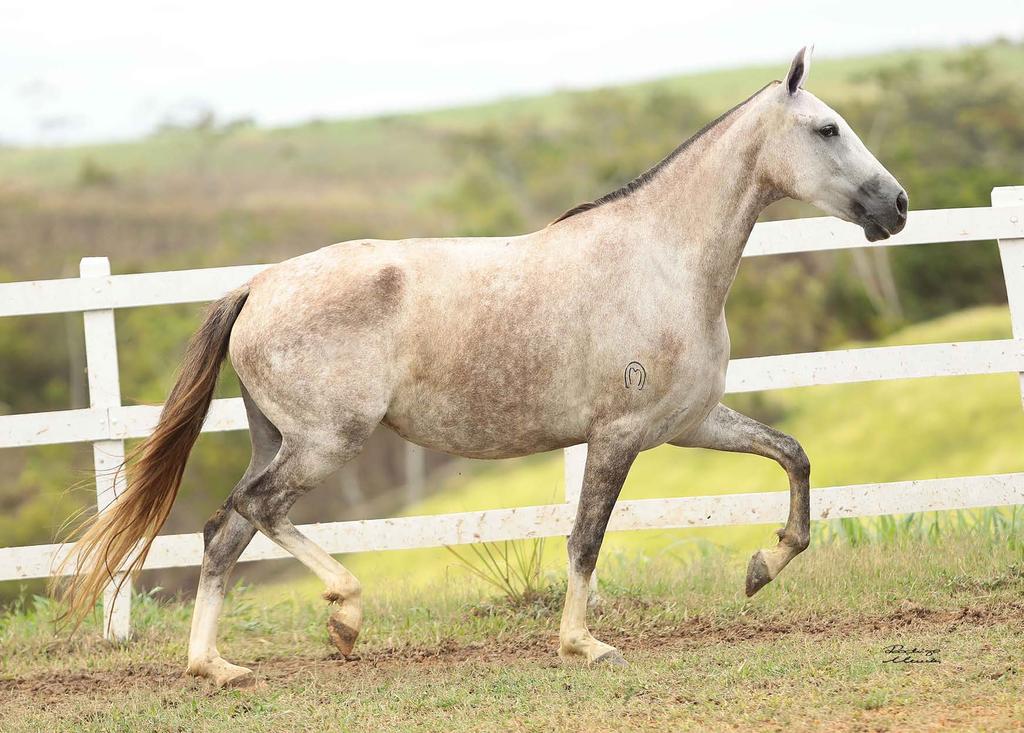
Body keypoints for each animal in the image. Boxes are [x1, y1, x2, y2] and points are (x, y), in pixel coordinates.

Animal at [59, 47, 905, 687]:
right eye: (828, 128)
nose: (894, 205)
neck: (661, 259)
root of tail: (258, 285)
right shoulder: (619, 434)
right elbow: (586, 537)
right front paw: (584, 644)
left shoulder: (690, 422)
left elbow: (794, 457)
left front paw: (761, 565)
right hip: (326, 442)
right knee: (255, 511)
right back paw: (344, 613)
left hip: (280, 440)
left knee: (221, 531)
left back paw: (217, 665)